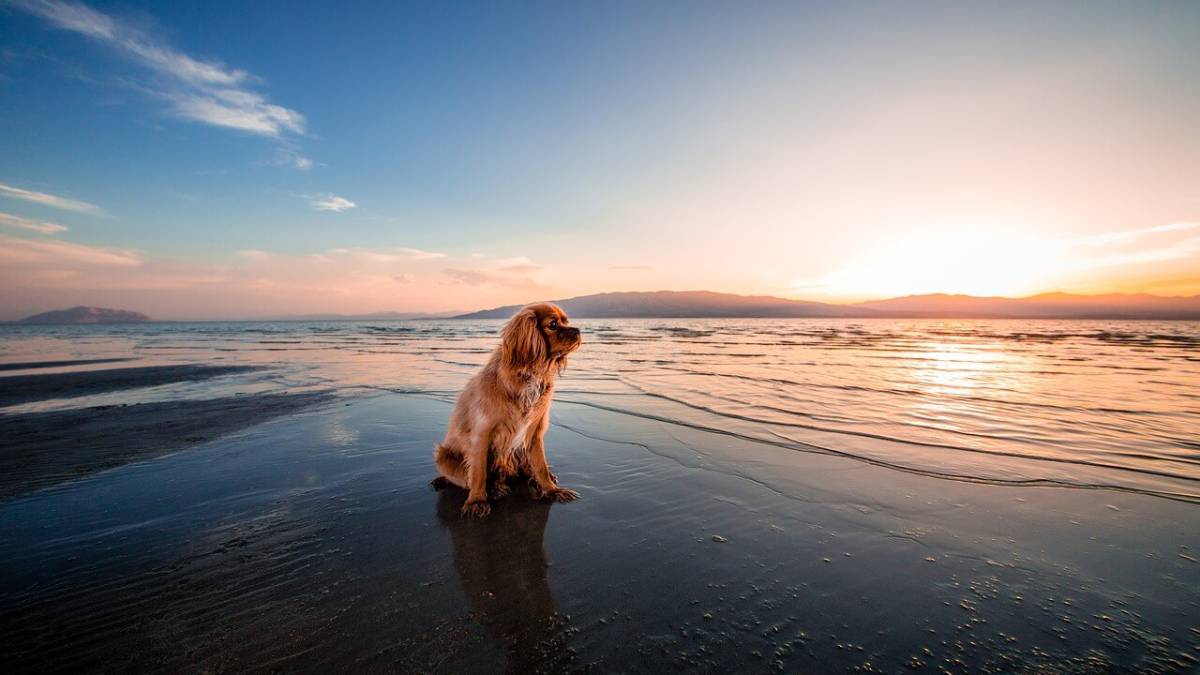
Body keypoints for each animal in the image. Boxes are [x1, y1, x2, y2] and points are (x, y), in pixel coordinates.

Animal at [434, 302, 583, 516]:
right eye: (553, 324)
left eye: (566, 322)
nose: (578, 331)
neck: (529, 375)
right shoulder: (481, 434)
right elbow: (478, 472)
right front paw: (477, 500)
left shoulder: (534, 433)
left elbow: (540, 465)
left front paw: (552, 489)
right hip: (443, 457)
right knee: (471, 478)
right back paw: (494, 488)